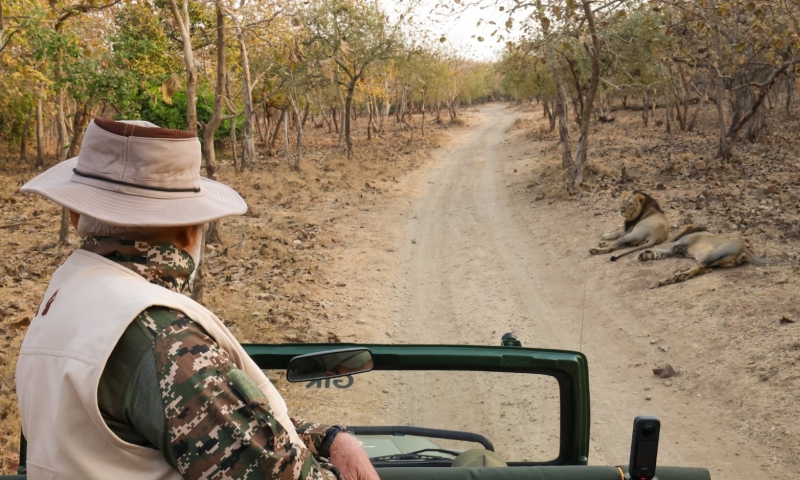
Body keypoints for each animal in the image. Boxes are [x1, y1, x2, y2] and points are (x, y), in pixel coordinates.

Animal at [636, 226, 768, 288]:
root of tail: (742, 247)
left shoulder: (677, 247)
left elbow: (661, 249)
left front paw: (646, 253)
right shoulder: (679, 252)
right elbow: (660, 252)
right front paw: (646, 255)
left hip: (713, 254)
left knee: (699, 267)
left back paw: (675, 277)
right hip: (718, 261)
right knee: (704, 268)